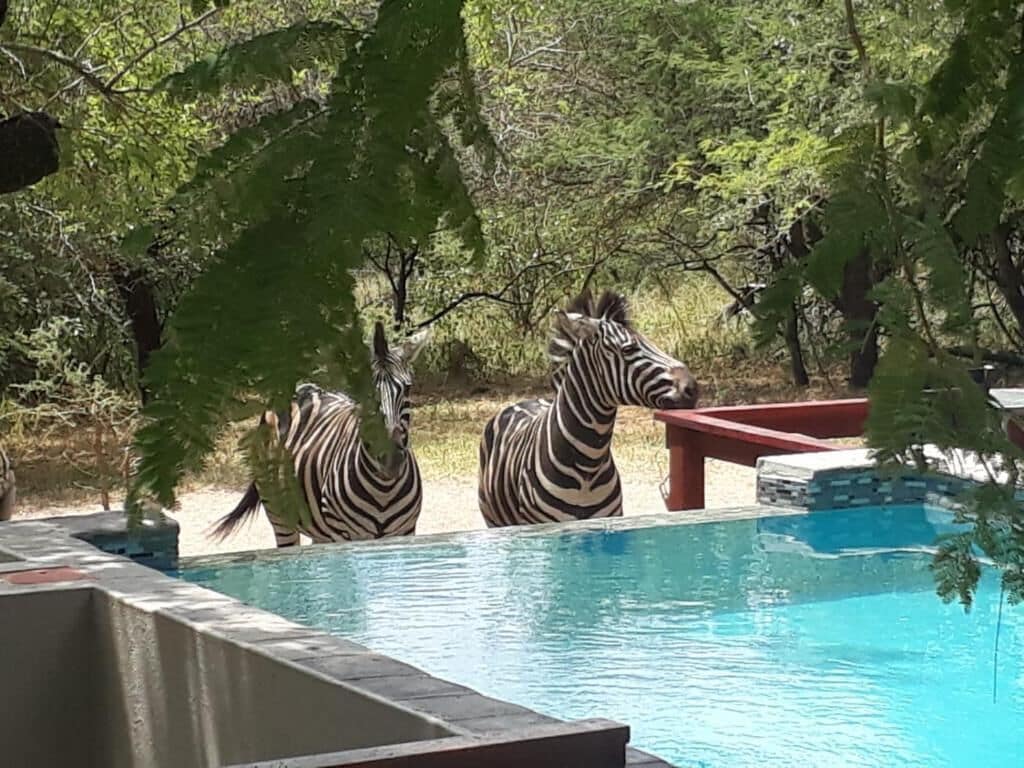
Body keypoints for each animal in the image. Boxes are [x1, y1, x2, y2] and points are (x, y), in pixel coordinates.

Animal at [213, 321, 429, 546]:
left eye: (407, 388)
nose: (390, 460)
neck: (384, 490)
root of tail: (302, 387)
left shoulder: (406, 531)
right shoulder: (341, 533)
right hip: (279, 514)